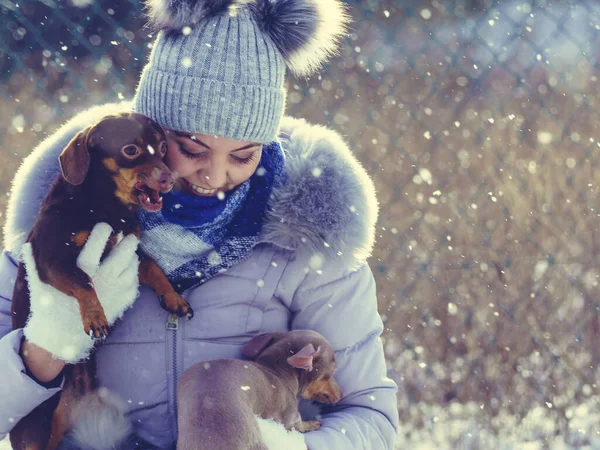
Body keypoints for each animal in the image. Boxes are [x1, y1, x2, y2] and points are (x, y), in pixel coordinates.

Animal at [9, 110, 193, 448]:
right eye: (131, 150)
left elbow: (154, 269)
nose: (168, 179)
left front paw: (174, 298)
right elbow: (85, 280)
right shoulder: (51, 259)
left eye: (163, 148)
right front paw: (95, 317)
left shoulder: (130, 250)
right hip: (38, 431)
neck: (106, 208)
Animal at [176, 328, 342, 450]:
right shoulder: (291, 418)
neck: (276, 371)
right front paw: (312, 424)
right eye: (332, 372)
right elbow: (299, 425)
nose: (341, 394)